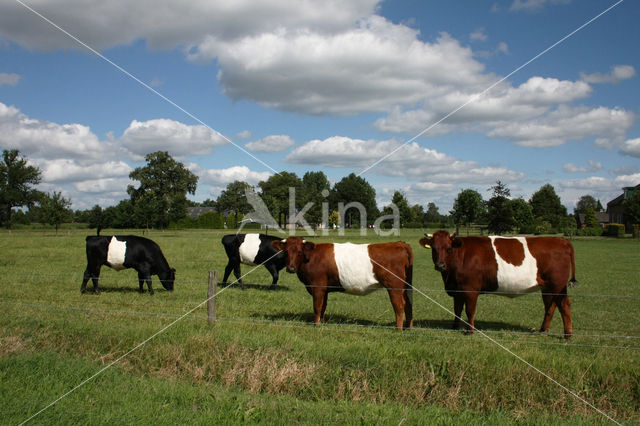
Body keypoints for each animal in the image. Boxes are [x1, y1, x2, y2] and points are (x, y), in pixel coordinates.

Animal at [272, 236, 416, 330]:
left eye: (300, 252)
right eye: (285, 251)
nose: (290, 268)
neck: (311, 258)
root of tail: (400, 243)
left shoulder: (318, 286)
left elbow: (317, 306)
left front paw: (316, 325)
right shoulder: (325, 288)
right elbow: (323, 307)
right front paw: (323, 323)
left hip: (394, 286)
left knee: (399, 306)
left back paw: (398, 329)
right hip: (406, 286)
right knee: (408, 304)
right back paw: (408, 328)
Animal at [418, 231, 576, 338]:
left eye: (449, 248)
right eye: (434, 249)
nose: (440, 266)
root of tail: (562, 241)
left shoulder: (470, 290)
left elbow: (469, 310)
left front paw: (470, 331)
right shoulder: (457, 290)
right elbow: (457, 310)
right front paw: (454, 327)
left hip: (557, 285)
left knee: (564, 305)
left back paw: (567, 334)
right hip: (548, 287)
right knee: (550, 306)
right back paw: (543, 331)